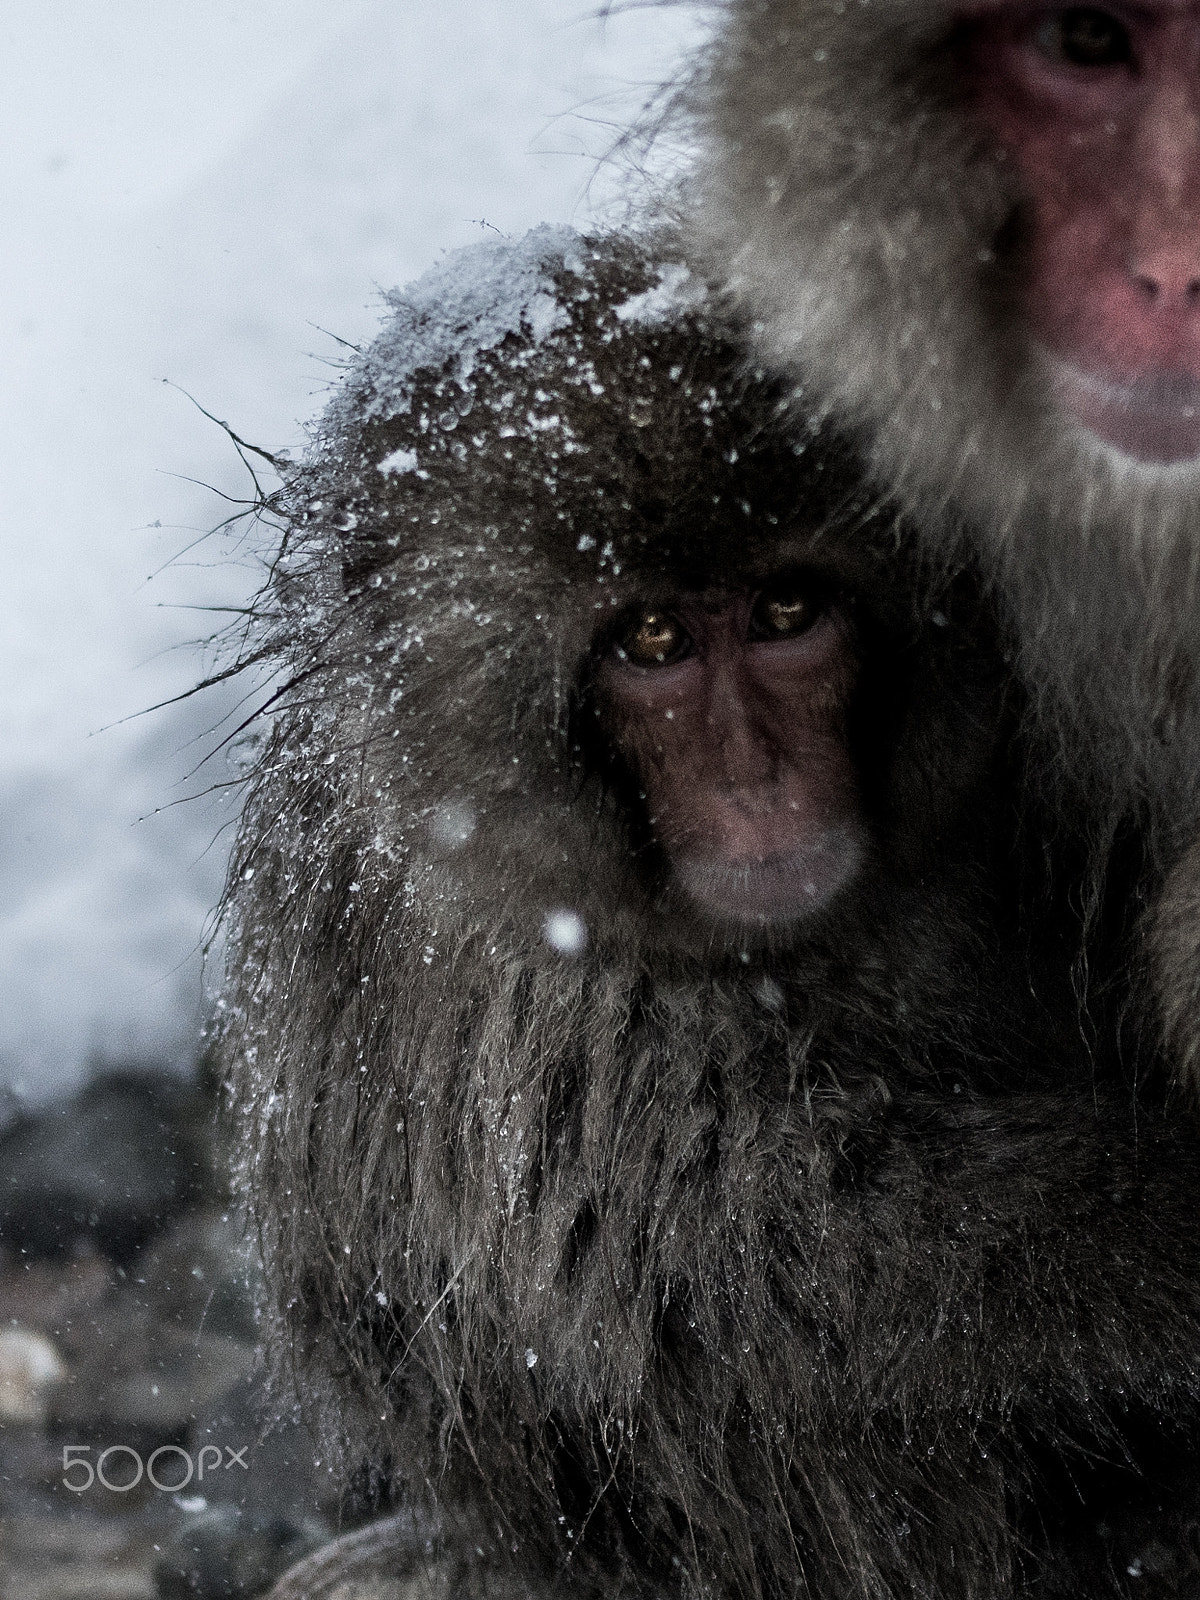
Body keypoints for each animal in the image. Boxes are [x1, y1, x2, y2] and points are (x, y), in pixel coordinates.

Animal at [227, 232, 1200, 1600]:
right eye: (652, 640)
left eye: (788, 613)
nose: (759, 785)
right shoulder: (530, 1001)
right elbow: (756, 1247)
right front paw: (1170, 1226)